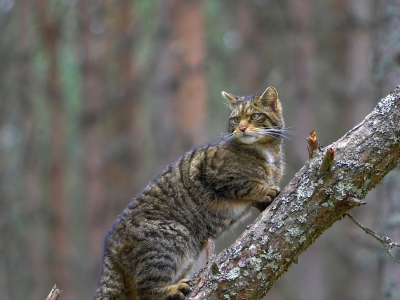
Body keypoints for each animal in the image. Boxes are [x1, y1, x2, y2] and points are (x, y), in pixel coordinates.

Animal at [94, 85, 286, 298]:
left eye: (255, 116)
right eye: (236, 119)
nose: (242, 128)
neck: (267, 153)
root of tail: (109, 249)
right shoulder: (211, 171)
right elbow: (246, 184)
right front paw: (265, 190)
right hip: (172, 239)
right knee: (147, 290)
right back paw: (174, 289)